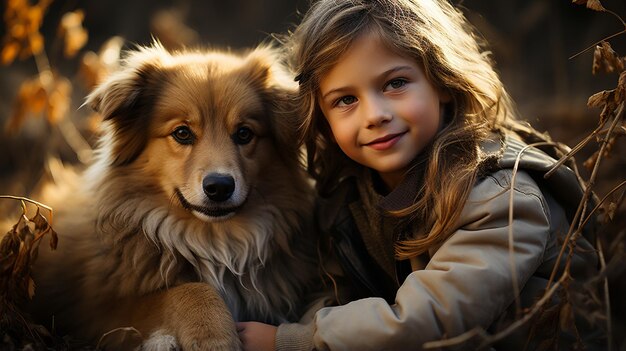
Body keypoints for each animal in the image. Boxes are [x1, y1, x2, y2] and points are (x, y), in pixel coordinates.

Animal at [26, 42, 314, 350]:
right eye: (182, 133)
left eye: (244, 133)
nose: (220, 187)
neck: (212, 242)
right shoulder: (101, 312)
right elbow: (189, 290)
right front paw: (214, 337)